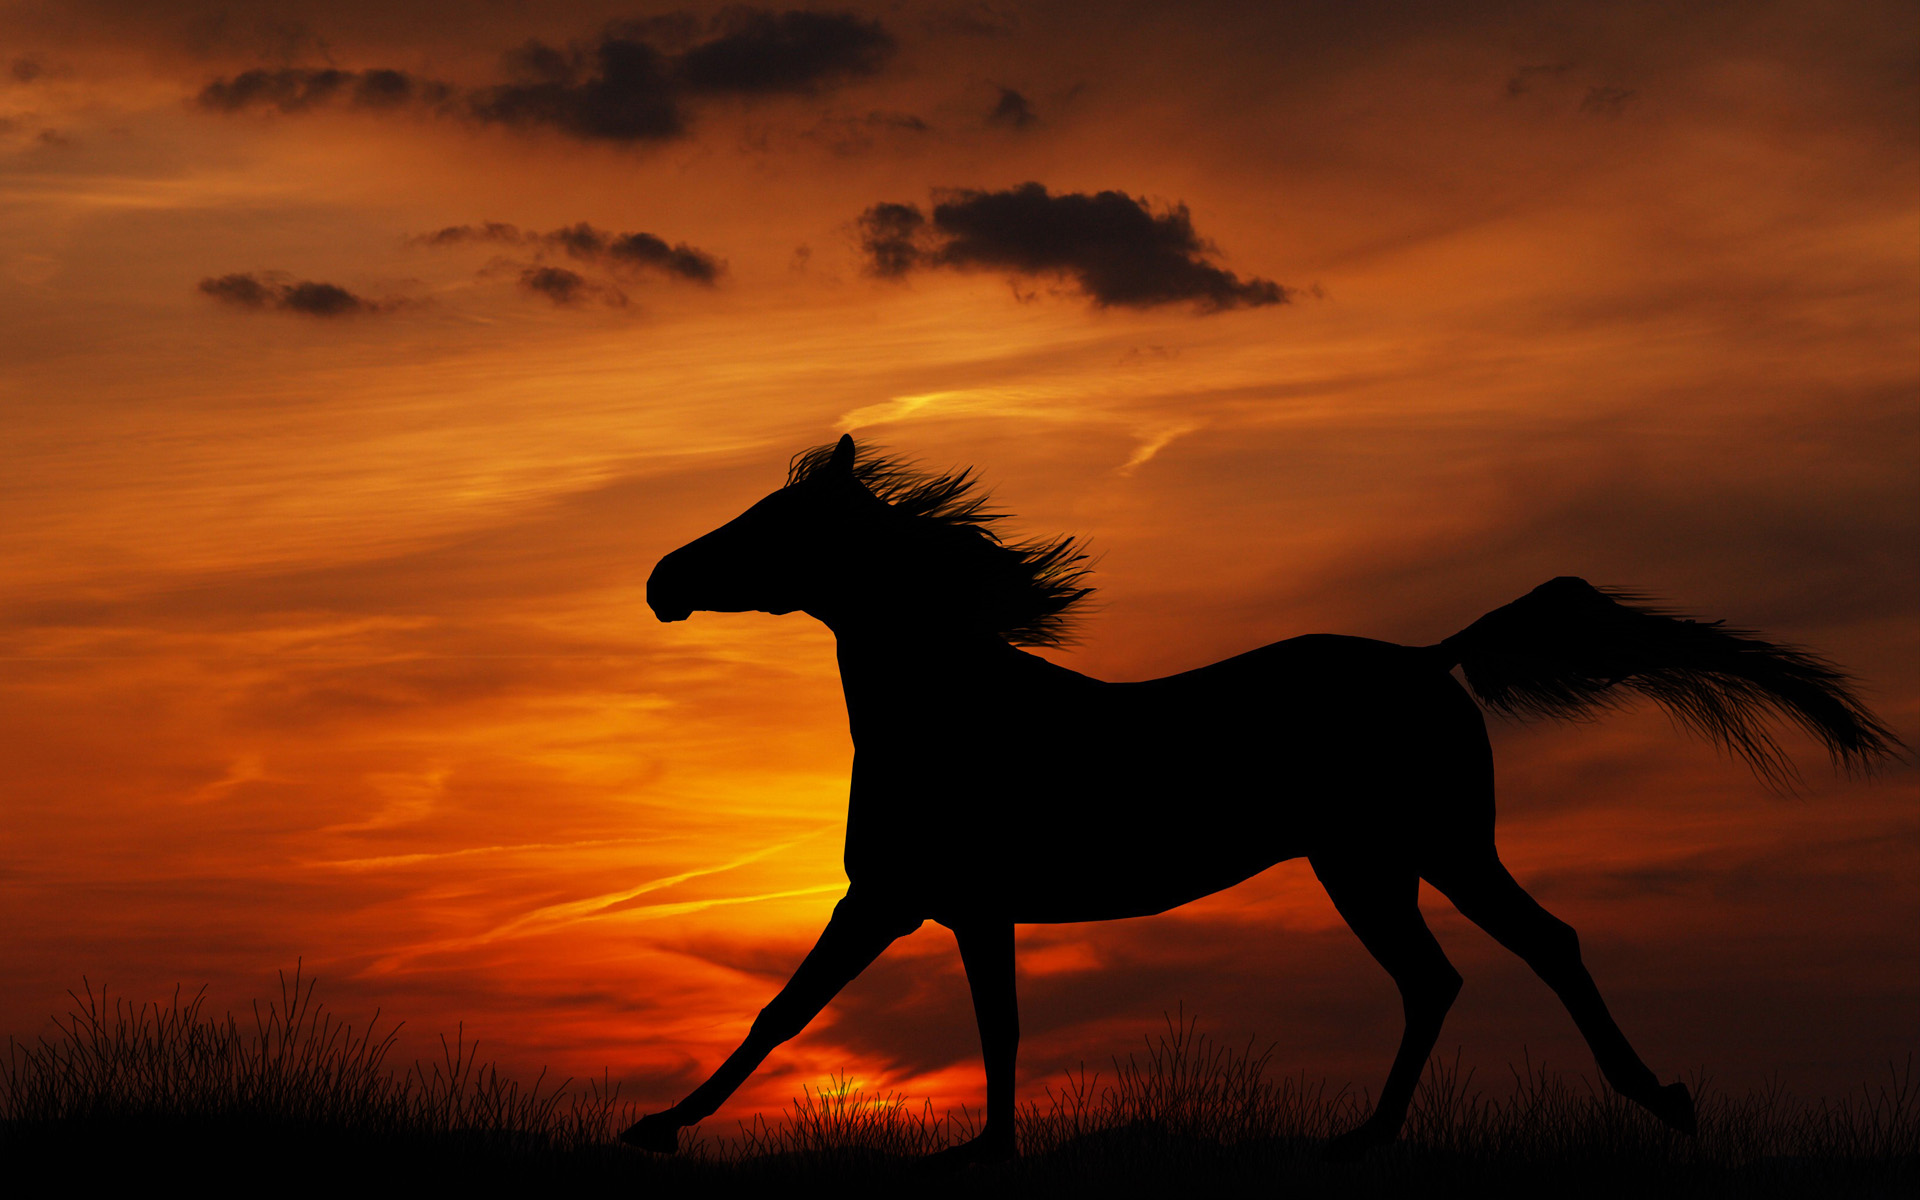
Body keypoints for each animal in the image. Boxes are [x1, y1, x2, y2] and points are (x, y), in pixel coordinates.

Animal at [622, 434, 1900, 1162]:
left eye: (775, 524)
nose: (660, 582)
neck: (947, 707)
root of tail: (1431, 657)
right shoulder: (956, 908)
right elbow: (977, 1024)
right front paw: (984, 1152)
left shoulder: (896, 901)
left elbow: (791, 1013)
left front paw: (657, 1128)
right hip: (1377, 862)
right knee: (1444, 976)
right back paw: (1374, 1135)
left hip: (1420, 849)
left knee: (1533, 947)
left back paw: (1646, 1101)